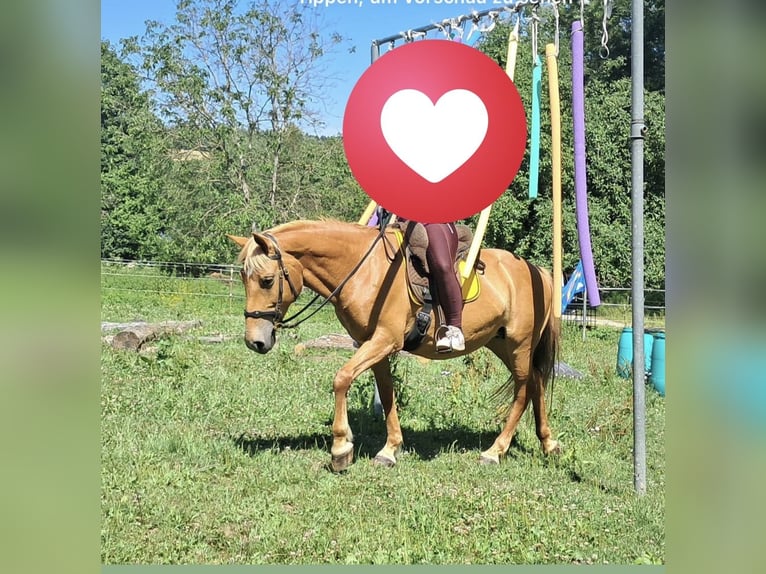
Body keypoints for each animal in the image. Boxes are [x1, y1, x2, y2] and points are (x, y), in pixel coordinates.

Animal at [228, 219, 561, 472]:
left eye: (267, 280)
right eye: (243, 278)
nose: (255, 341)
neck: (365, 271)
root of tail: (536, 271)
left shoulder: (384, 340)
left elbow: (341, 379)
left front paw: (340, 448)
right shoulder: (374, 345)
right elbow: (387, 394)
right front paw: (390, 449)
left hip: (519, 345)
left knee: (522, 390)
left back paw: (495, 450)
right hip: (501, 343)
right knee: (535, 383)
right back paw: (548, 442)